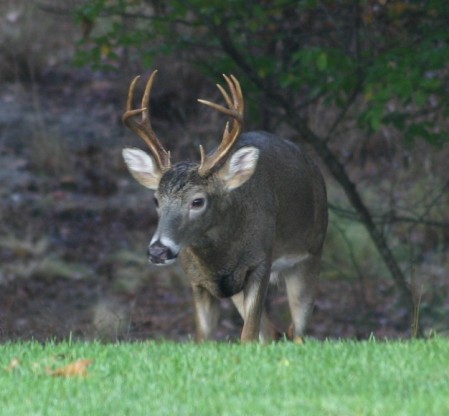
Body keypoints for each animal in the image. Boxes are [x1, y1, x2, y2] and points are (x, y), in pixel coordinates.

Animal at [121, 70, 328, 342]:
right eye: (156, 199)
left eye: (198, 201)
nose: (158, 251)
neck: (220, 260)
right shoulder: (197, 281)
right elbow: (204, 339)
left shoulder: (260, 263)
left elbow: (247, 336)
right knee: (272, 332)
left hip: (311, 254)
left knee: (298, 332)